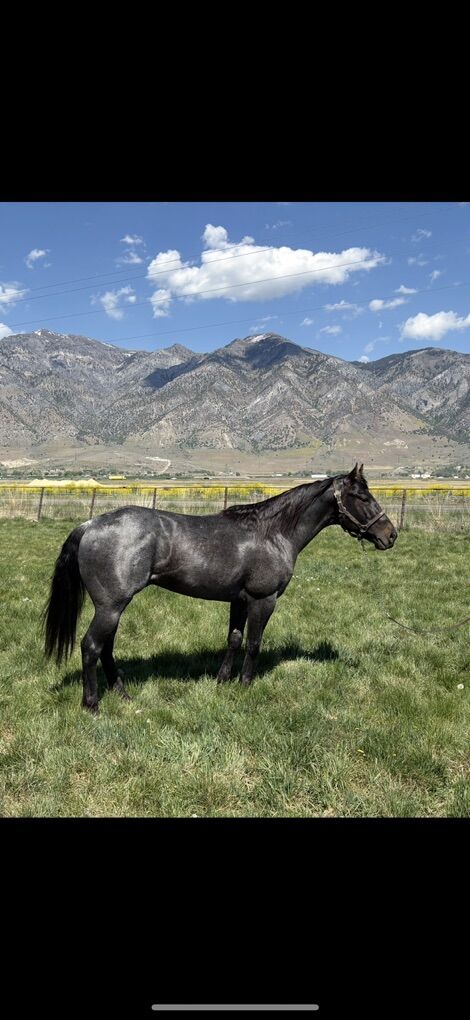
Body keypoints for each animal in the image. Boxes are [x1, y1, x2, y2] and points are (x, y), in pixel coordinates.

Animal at [43, 463, 397, 712]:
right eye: (362, 497)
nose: (390, 535)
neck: (273, 533)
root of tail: (90, 524)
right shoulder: (263, 600)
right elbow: (253, 643)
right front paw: (245, 684)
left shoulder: (239, 600)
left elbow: (234, 639)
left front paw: (223, 680)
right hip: (111, 606)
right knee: (91, 646)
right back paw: (92, 704)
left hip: (114, 607)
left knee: (106, 648)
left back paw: (123, 694)